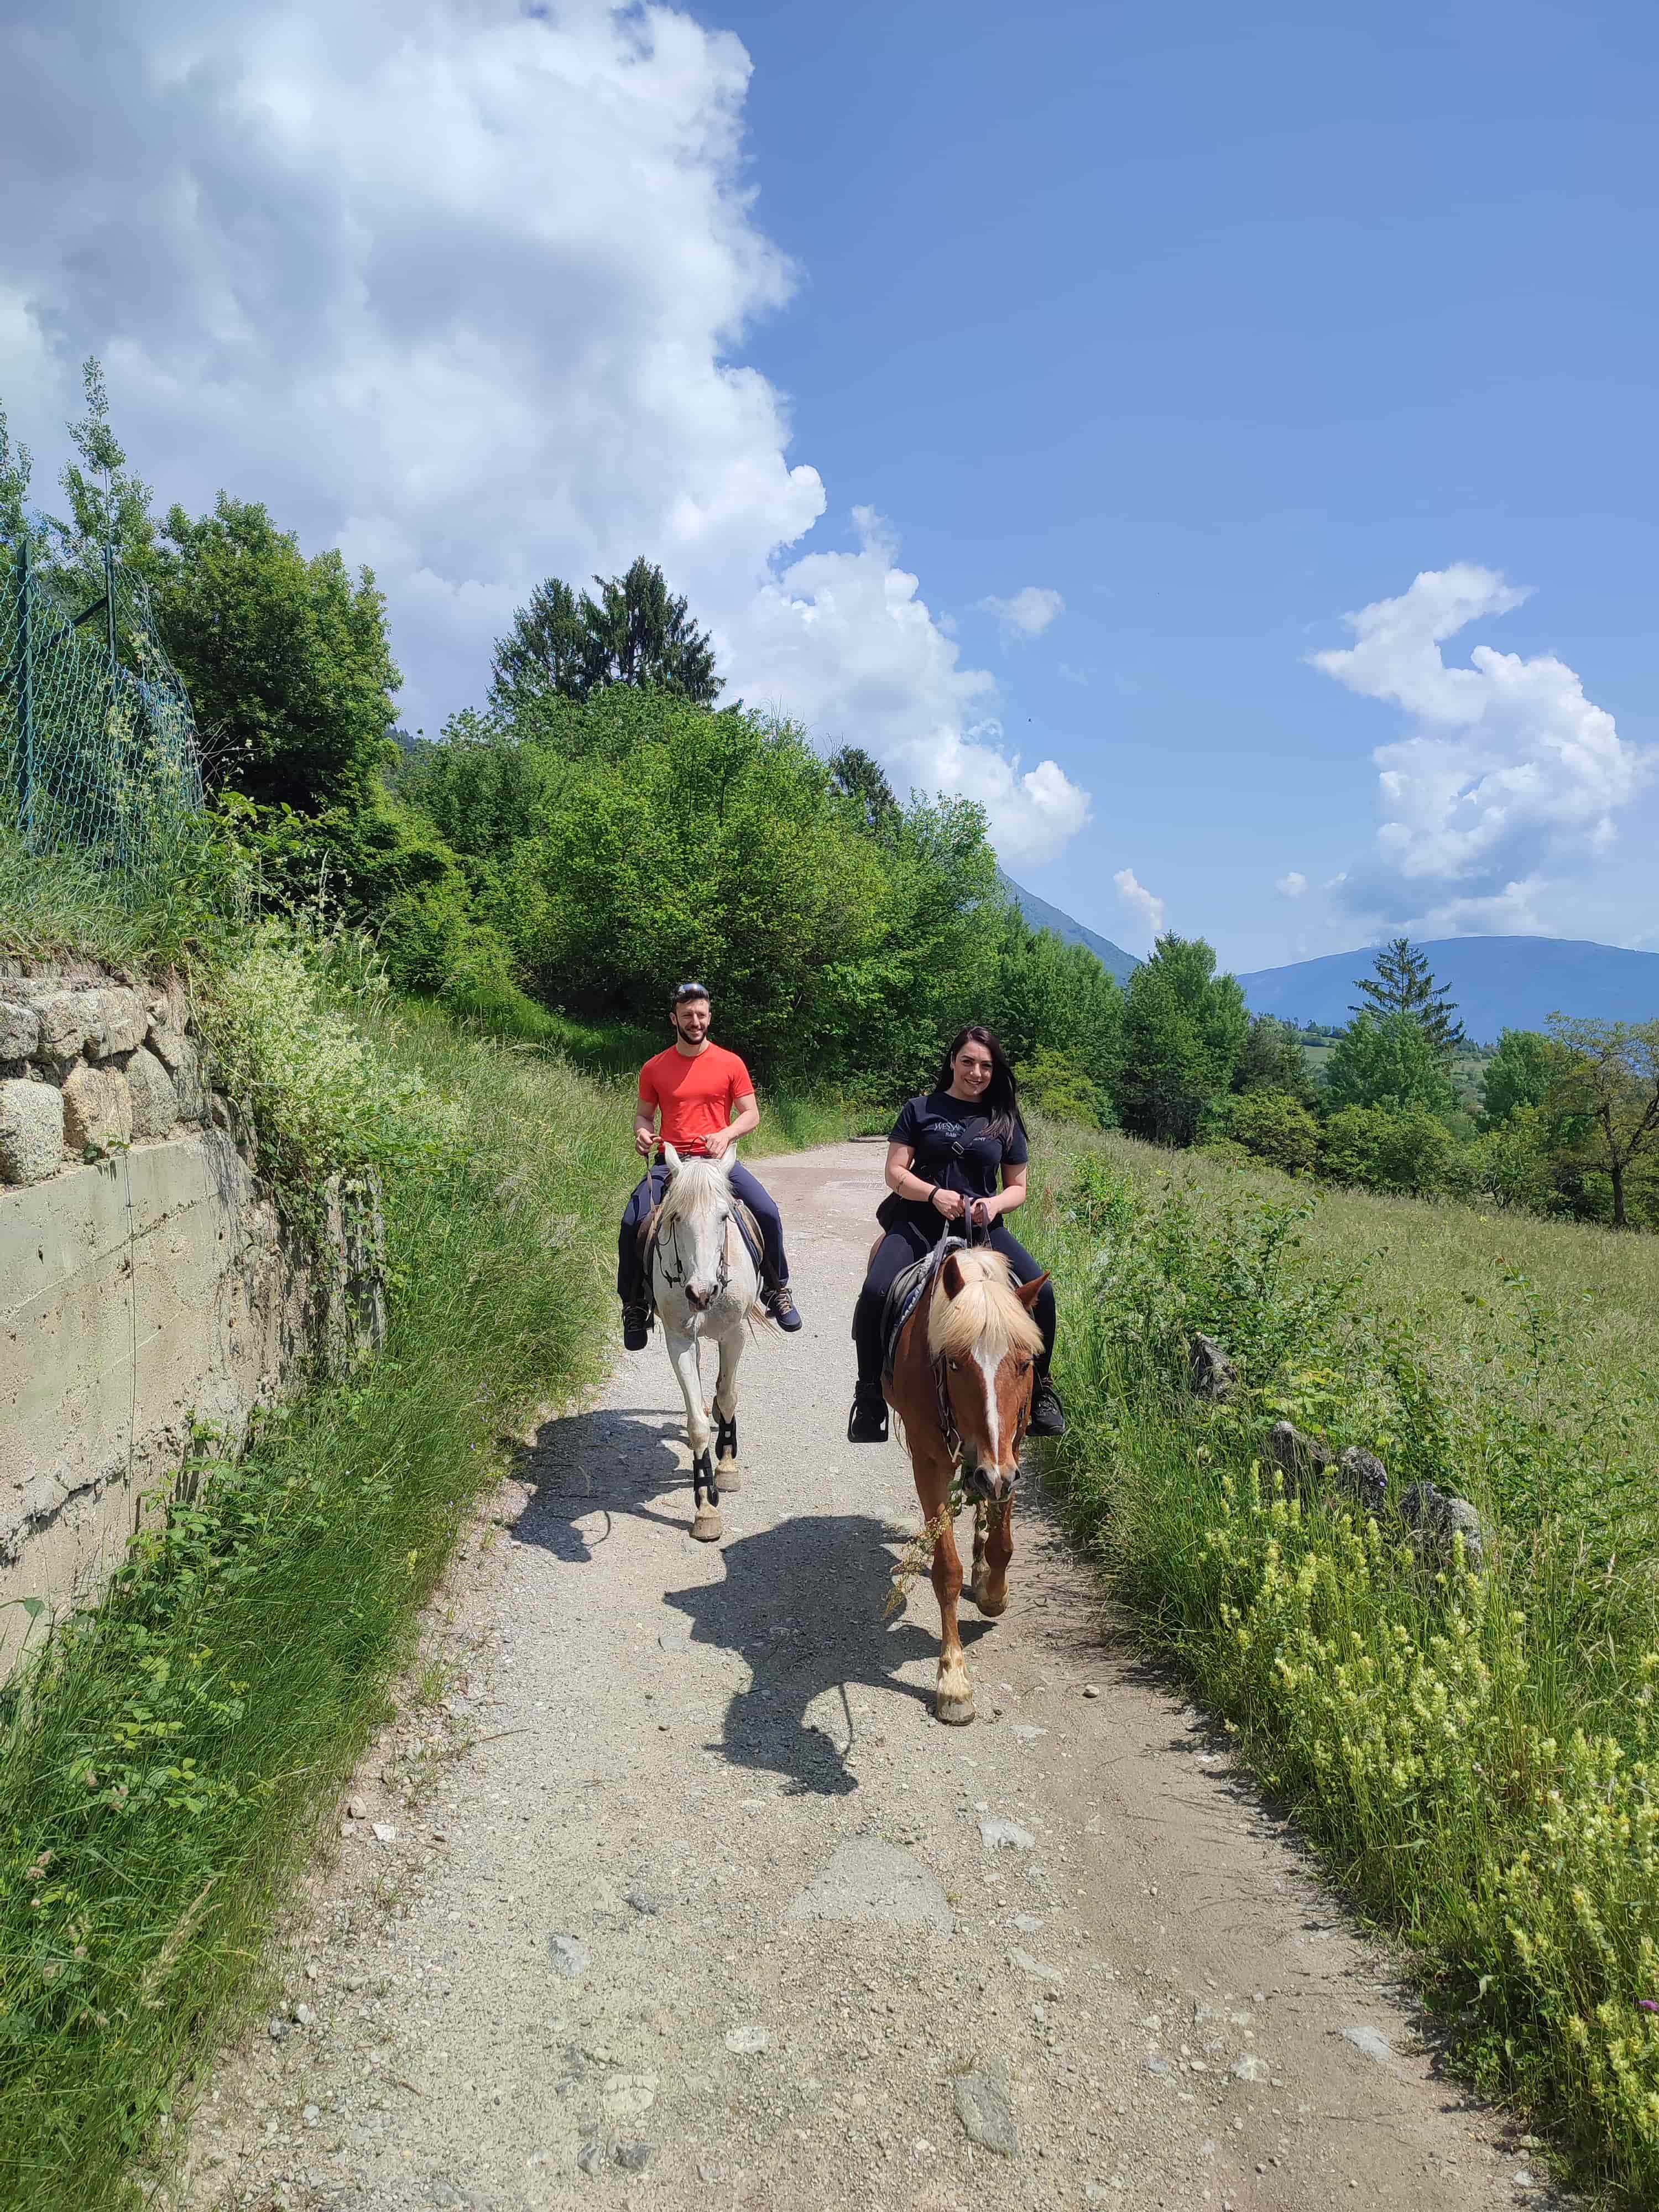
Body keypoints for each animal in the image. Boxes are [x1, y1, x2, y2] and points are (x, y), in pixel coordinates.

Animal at [650, 1141, 765, 1540]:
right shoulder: (680, 1340)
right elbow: (697, 1423)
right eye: (676, 1217)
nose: (701, 1293)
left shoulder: (735, 1334)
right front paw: (705, 1507)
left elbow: (729, 1395)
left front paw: (727, 1467)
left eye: (723, 1217)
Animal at [889, 1248, 1044, 1725]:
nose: (995, 1476)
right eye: (955, 1363)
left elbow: (1003, 1545)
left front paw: (994, 1592)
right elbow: (947, 1572)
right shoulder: (930, 1465)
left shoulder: (1013, 1450)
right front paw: (953, 1680)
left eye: (1025, 1363)